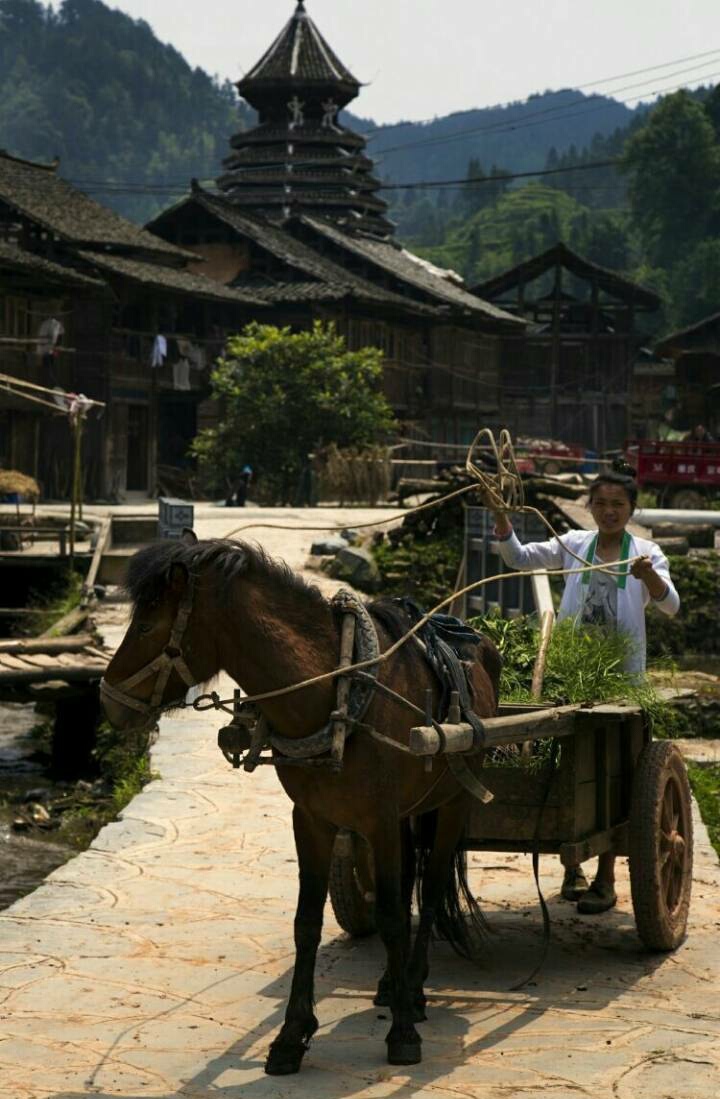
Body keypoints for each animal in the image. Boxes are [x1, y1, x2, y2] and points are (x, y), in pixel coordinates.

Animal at [101, 531, 501, 1072]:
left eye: (145, 624)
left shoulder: (377, 819)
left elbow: (392, 916)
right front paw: (291, 1035)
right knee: (409, 887)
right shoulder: (311, 820)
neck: (337, 695)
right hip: (407, 814)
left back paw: (413, 989)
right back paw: (390, 984)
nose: (107, 701)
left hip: (454, 800)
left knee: (433, 887)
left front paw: (401, 1032)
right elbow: (308, 922)